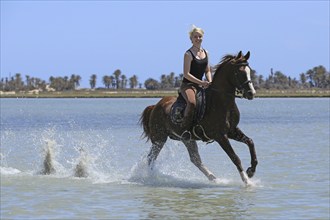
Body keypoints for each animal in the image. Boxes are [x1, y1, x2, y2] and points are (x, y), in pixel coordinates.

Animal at [139, 50, 258, 185]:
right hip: (159, 139)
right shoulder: (220, 136)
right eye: (239, 72)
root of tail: (155, 106)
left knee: (195, 159)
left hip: (187, 140)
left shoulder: (232, 131)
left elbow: (250, 142)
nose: (251, 93)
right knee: (151, 158)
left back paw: (213, 178)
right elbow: (235, 157)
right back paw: (150, 177)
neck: (221, 102)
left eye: (249, 71)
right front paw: (246, 181)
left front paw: (251, 171)